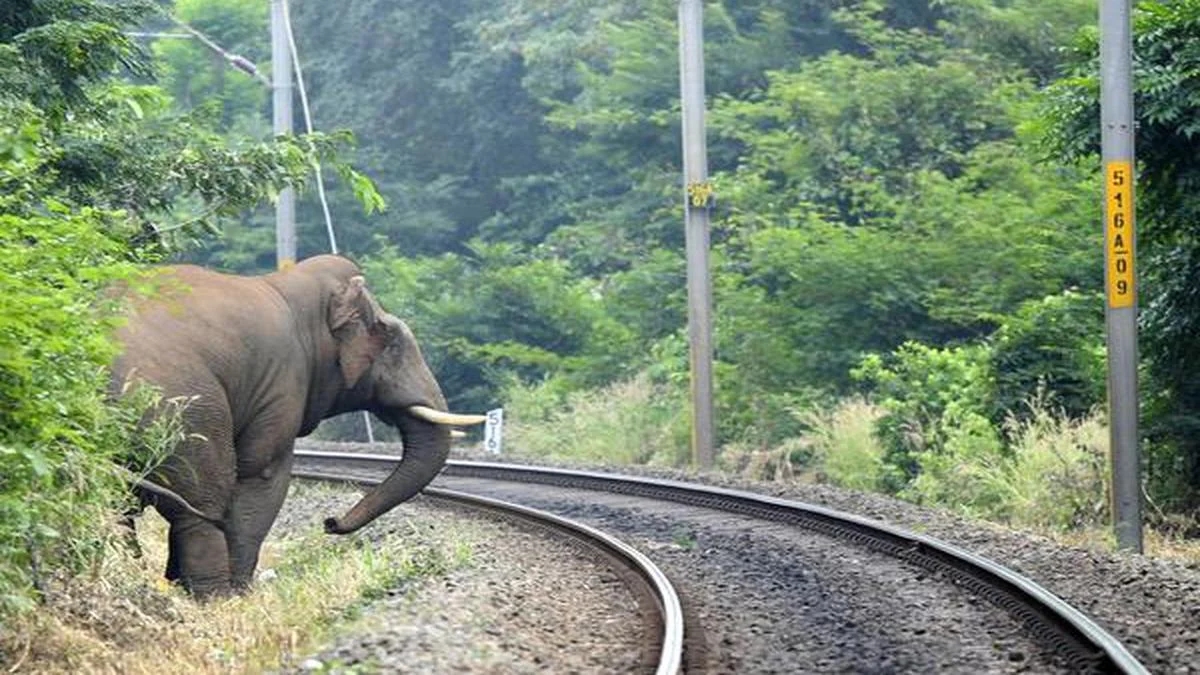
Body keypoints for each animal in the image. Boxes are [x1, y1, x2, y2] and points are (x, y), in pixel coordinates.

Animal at [111, 254, 482, 598]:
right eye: (389, 339)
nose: (329, 522)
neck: (290, 287)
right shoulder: (282, 383)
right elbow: (263, 475)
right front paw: (241, 594)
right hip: (185, 413)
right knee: (200, 505)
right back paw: (214, 597)